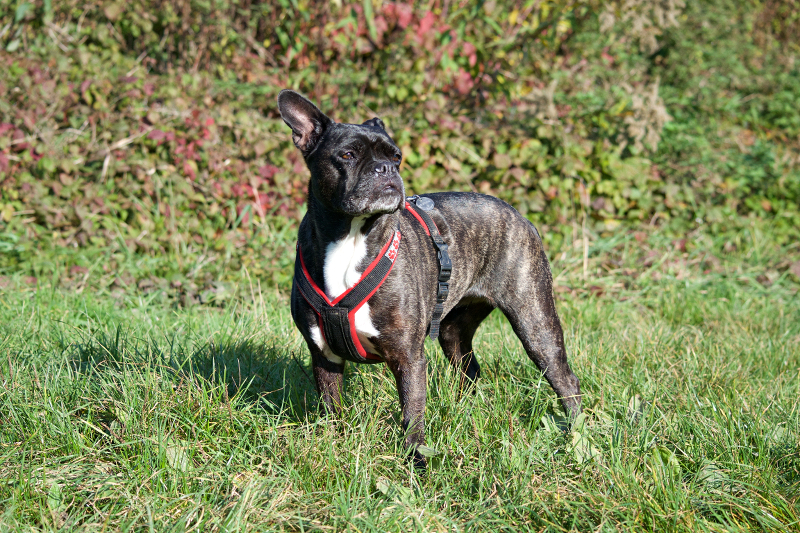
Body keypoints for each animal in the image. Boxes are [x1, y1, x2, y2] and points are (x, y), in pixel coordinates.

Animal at [278, 89, 581, 468]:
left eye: (397, 157)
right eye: (347, 155)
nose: (386, 169)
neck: (351, 237)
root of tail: (516, 212)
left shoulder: (408, 357)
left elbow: (412, 411)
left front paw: (415, 458)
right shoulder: (324, 354)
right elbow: (331, 405)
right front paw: (334, 443)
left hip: (535, 320)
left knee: (565, 379)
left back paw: (575, 436)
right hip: (454, 332)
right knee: (469, 370)